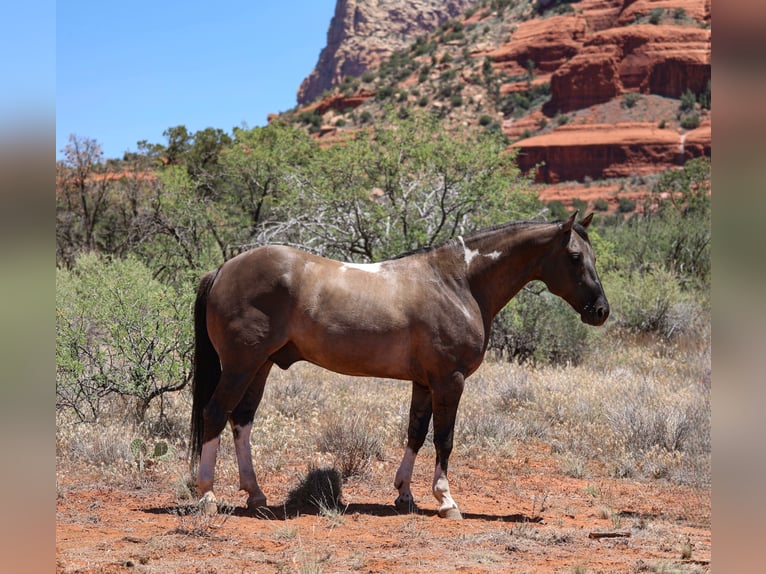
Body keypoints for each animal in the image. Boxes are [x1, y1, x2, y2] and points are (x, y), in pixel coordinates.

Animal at [189, 212, 609, 519]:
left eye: (593, 257)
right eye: (575, 257)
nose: (601, 311)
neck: (458, 283)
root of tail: (221, 270)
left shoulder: (424, 383)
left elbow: (415, 433)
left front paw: (405, 494)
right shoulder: (449, 380)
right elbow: (444, 439)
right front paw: (446, 500)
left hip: (260, 366)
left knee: (241, 420)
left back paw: (255, 495)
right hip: (241, 365)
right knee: (216, 412)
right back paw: (207, 496)